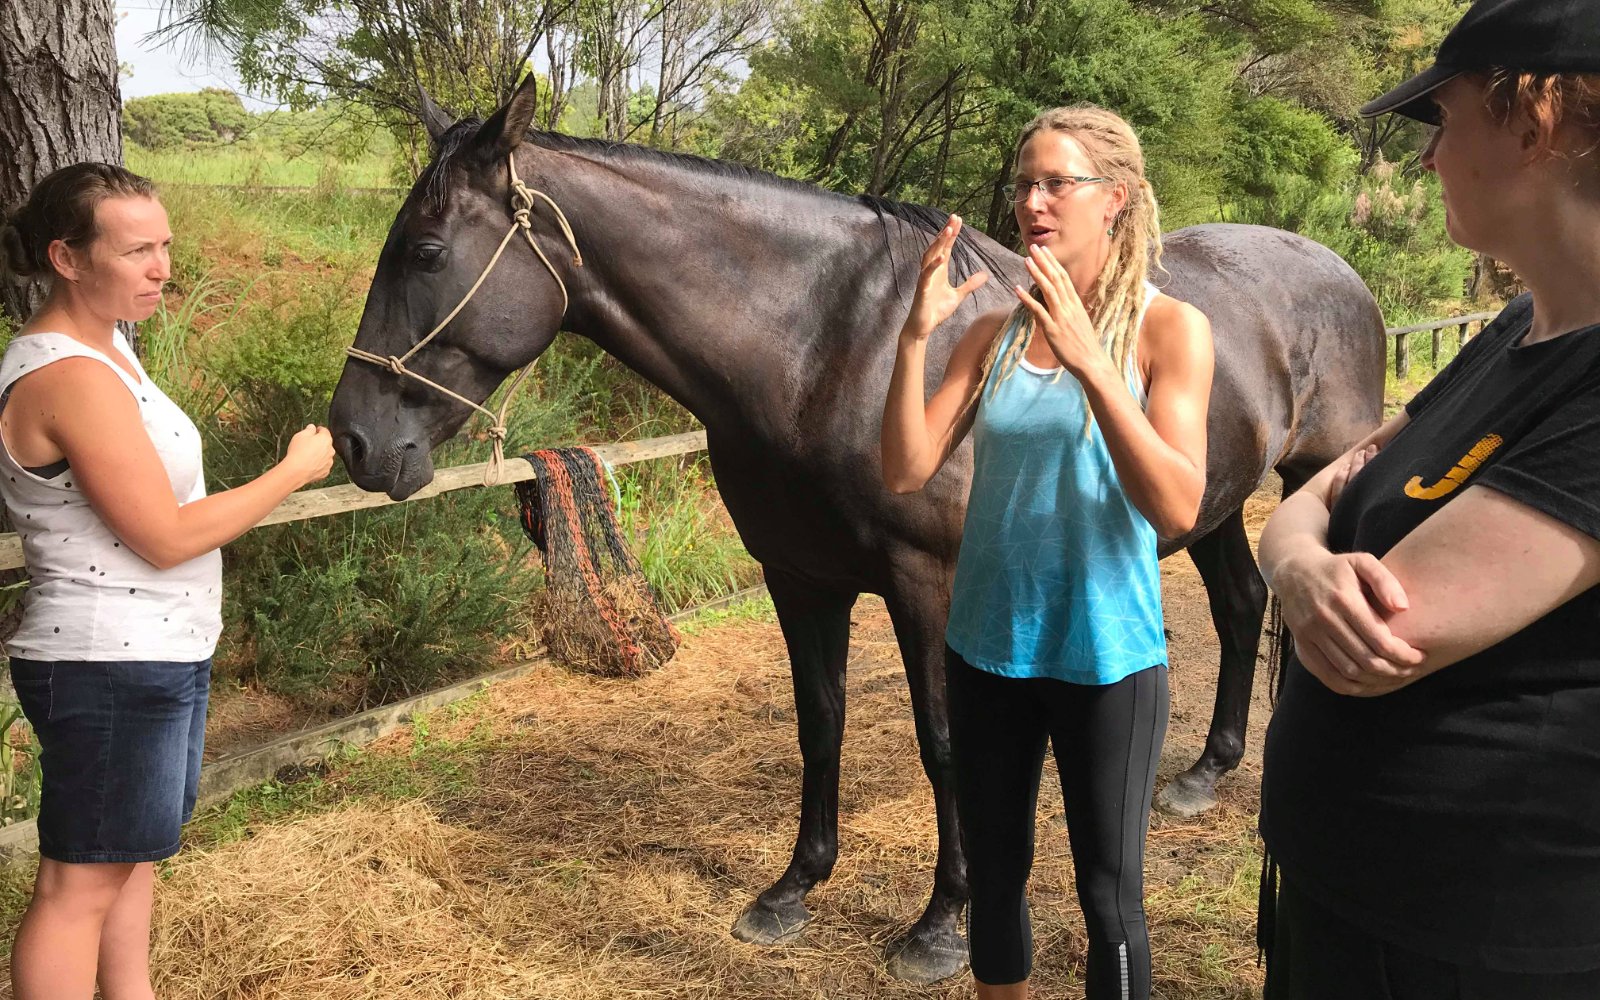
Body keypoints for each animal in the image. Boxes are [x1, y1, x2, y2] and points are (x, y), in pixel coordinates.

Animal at [327, 77, 1385, 984]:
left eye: (426, 252)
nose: (354, 440)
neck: (826, 346)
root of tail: (1341, 272)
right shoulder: (801, 579)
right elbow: (820, 723)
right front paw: (794, 887)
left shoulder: (928, 584)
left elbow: (943, 742)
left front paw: (941, 924)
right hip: (1214, 505)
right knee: (1241, 605)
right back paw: (1204, 772)